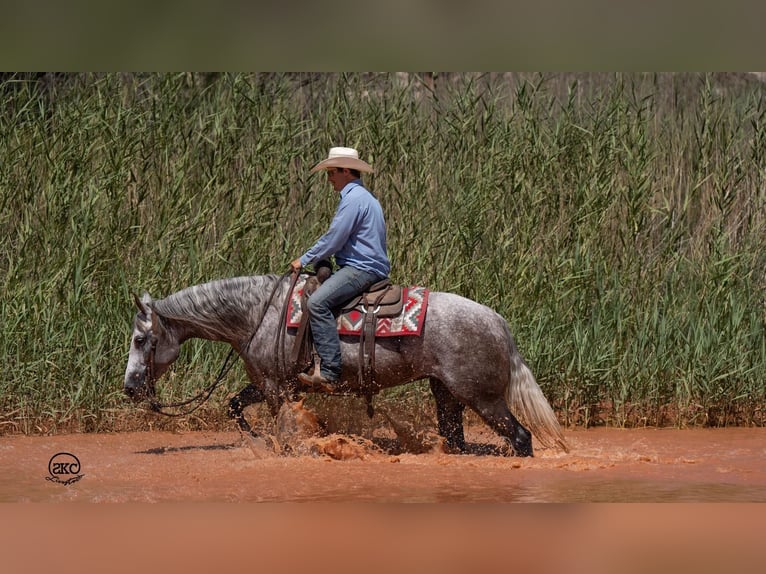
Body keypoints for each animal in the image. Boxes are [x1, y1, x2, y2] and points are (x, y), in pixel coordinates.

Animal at [123, 274, 568, 460]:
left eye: (140, 340)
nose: (129, 387)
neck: (257, 314)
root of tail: (499, 323)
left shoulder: (275, 387)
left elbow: (281, 425)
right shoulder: (271, 383)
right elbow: (234, 406)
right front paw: (259, 439)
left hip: (483, 398)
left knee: (521, 437)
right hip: (447, 395)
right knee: (456, 440)